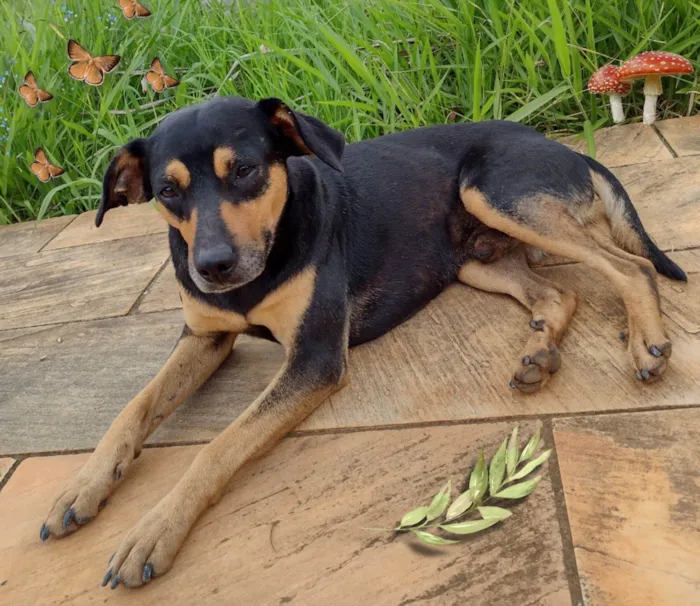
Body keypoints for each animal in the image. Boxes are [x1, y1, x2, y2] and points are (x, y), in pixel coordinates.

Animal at [37, 96, 684, 588]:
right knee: (558, 294)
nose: (213, 267)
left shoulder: (315, 358)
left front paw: (153, 531)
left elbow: (218, 446)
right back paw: (539, 356)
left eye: (243, 170)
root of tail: (564, 145)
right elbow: (134, 408)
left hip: (496, 194)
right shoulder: (205, 337)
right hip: (474, 260)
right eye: (168, 192)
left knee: (631, 267)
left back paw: (646, 342)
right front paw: (82, 485)